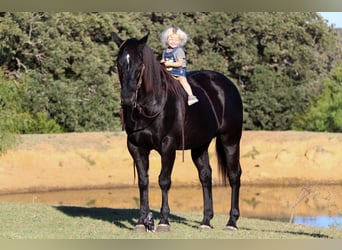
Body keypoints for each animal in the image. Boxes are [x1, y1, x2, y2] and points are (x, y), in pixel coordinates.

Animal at [113, 32, 243, 231]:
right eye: (119, 63)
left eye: (139, 63)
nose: (127, 98)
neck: (153, 104)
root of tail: (227, 84)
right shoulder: (135, 146)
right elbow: (143, 182)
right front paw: (142, 222)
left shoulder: (168, 145)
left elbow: (164, 180)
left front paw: (163, 221)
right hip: (200, 145)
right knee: (206, 176)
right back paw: (206, 221)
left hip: (231, 140)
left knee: (234, 175)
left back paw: (232, 222)